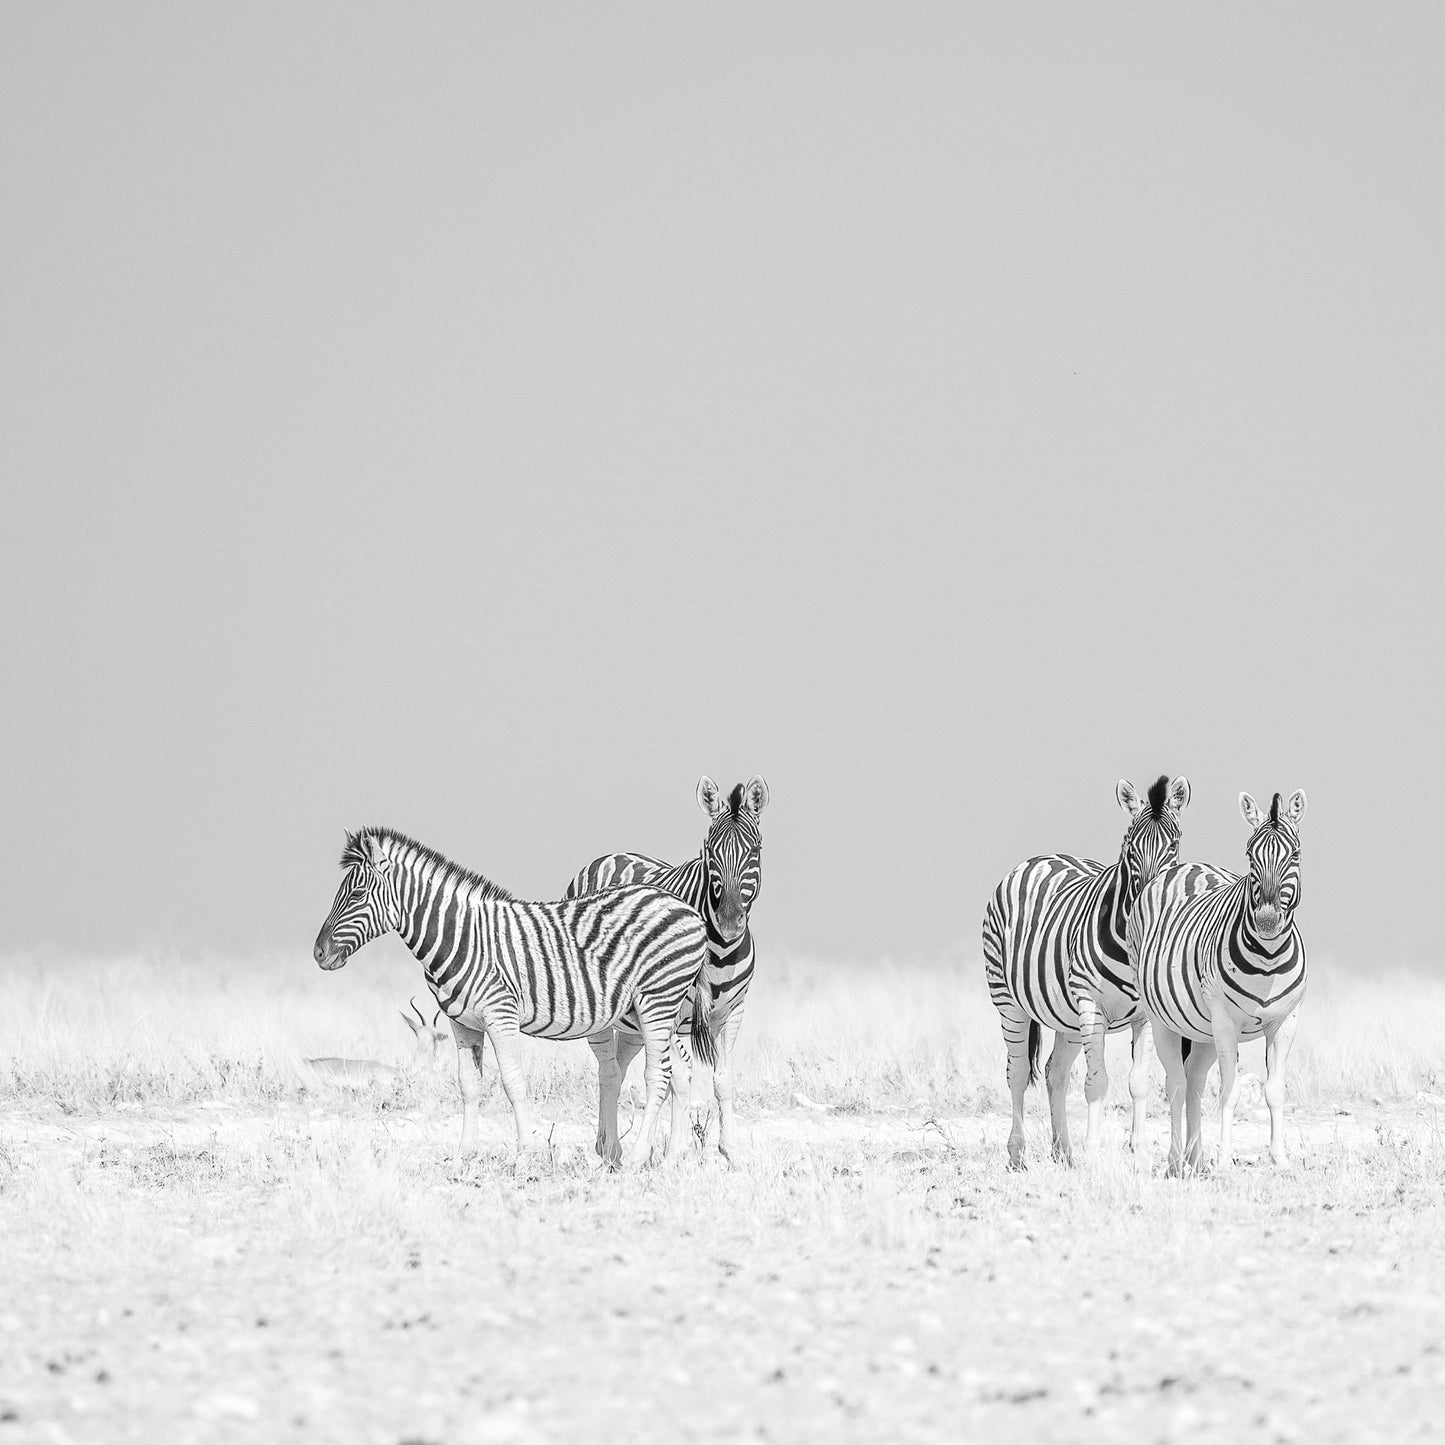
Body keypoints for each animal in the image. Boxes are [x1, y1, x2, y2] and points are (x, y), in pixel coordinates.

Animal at [312, 827, 713, 1168]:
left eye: (357, 895)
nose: (319, 953)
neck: (463, 938)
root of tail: (686, 907)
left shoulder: (500, 1015)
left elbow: (512, 1083)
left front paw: (523, 1156)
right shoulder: (462, 1023)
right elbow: (469, 1086)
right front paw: (463, 1156)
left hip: (657, 1000)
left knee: (658, 1075)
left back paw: (638, 1158)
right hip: (660, 1011)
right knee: (679, 1072)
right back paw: (671, 1159)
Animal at [565, 774, 768, 1167]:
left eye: (755, 850)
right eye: (709, 852)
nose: (729, 922)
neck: (720, 952)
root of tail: (610, 855)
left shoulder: (733, 1013)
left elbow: (723, 1079)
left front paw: (730, 1151)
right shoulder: (673, 1014)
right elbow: (680, 1079)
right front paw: (674, 1154)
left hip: (634, 1020)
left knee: (620, 1065)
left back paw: (608, 1146)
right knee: (610, 1068)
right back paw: (611, 1150)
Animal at [983, 775, 1191, 1168]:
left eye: (1174, 844)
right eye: (1130, 845)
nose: (1149, 901)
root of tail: (1041, 857)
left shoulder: (1146, 1015)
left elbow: (1139, 1082)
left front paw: (1140, 1153)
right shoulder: (1091, 1004)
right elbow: (1096, 1083)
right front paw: (1093, 1156)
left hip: (1067, 1016)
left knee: (1055, 1073)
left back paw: (1063, 1152)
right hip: (1008, 1000)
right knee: (1018, 1073)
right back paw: (1017, 1155)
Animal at [1131, 789, 1307, 1174]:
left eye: (1296, 854)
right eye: (1250, 854)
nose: (1267, 921)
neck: (1268, 958)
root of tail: (1185, 866)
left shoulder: (1285, 1022)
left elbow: (1275, 1090)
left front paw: (1280, 1158)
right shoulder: (1227, 1023)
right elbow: (1230, 1091)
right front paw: (1225, 1161)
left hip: (1202, 1030)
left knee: (1194, 1081)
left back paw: (1196, 1160)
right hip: (1163, 1019)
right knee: (1176, 1083)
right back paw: (1176, 1161)